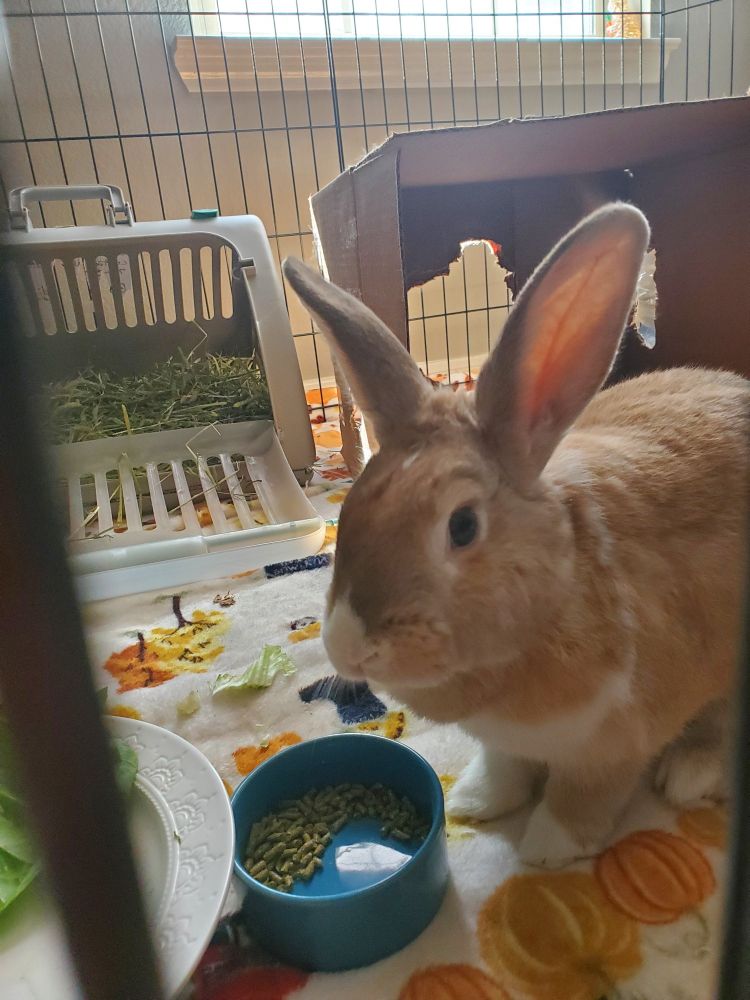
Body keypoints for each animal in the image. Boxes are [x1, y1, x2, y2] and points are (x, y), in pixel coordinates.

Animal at [282, 204, 749, 868]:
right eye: (350, 510)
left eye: (462, 526)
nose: (348, 646)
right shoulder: (503, 741)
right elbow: (504, 767)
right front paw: (475, 802)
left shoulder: (615, 743)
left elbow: (583, 795)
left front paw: (547, 849)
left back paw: (691, 774)